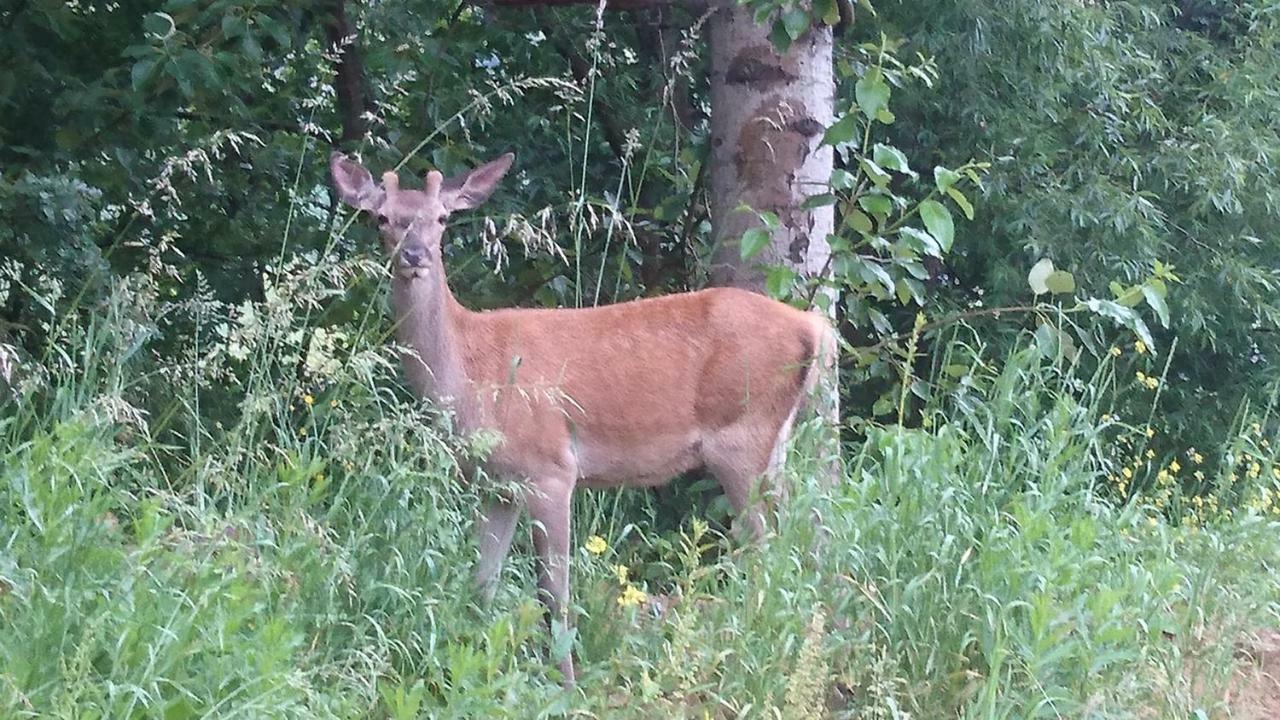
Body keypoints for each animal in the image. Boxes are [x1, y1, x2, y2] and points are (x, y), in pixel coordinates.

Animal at [327, 148, 839, 681]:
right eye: (381, 218)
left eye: (443, 218)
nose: (414, 255)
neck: (470, 372)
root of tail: (814, 327)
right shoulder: (495, 484)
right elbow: (482, 582)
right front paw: (476, 665)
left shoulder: (551, 468)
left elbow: (555, 592)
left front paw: (564, 682)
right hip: (774, 444)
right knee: (810, 538)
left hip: (741, 439)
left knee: (768, 551)